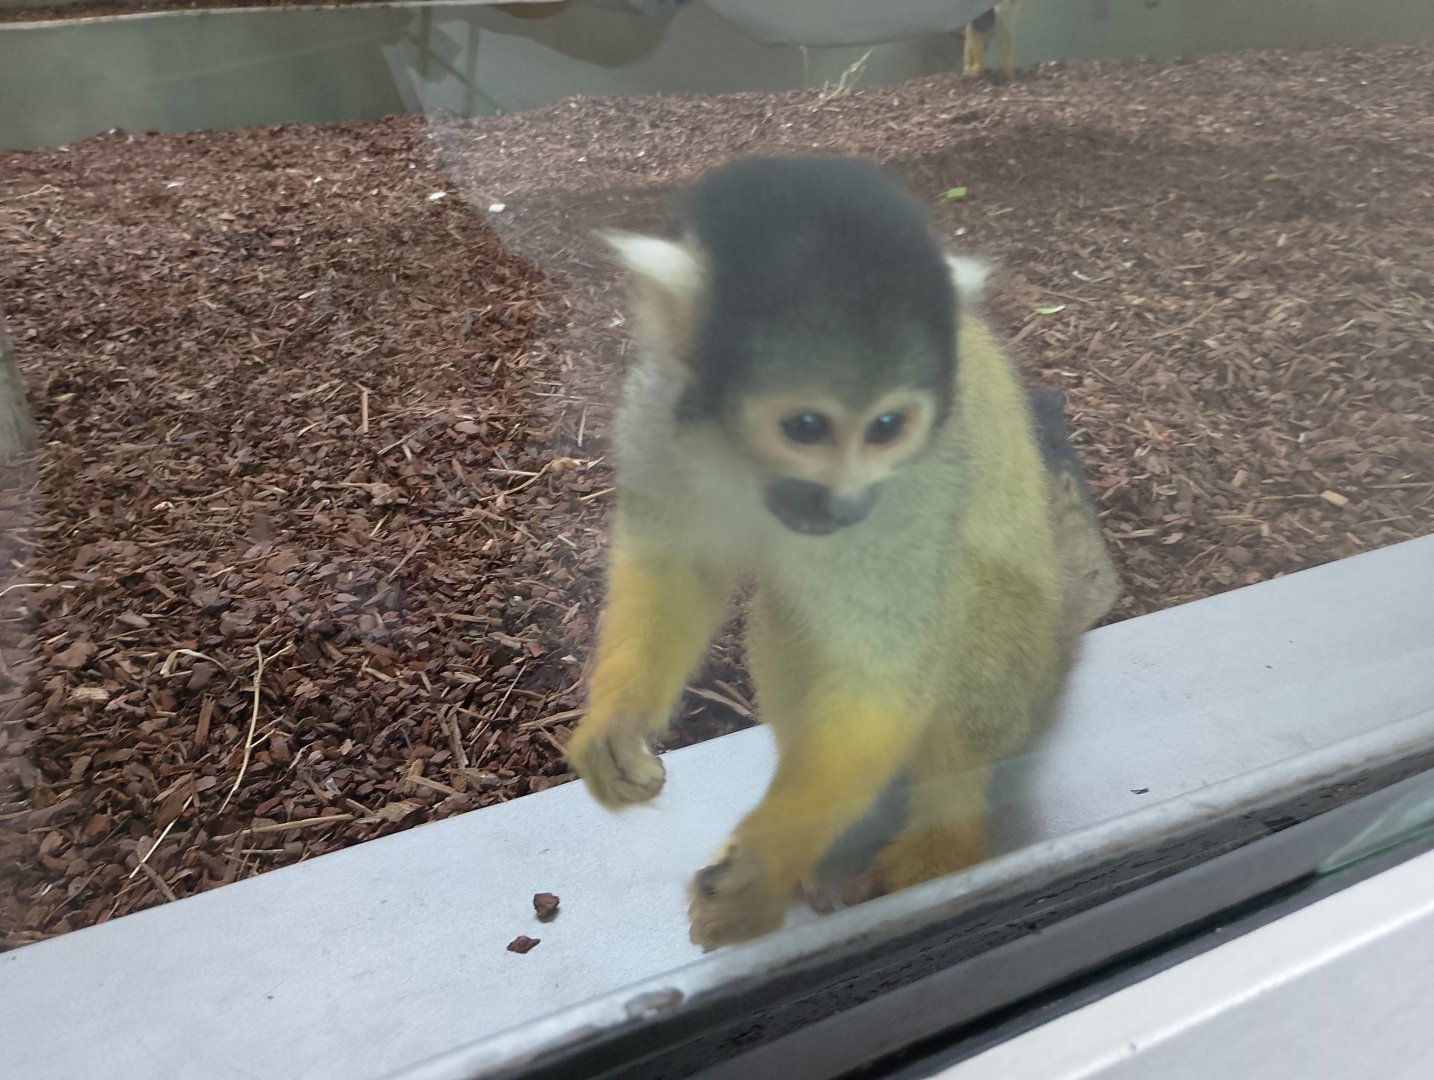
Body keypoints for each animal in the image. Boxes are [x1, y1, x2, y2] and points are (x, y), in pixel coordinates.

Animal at [564, 155, 1118, 950]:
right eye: (805, 427)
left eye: (887, 426)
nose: (847, 503)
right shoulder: (657, 406)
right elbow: (677, 568)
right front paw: (616, 724)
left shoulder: (914, 482)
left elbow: (884, 671)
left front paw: (764, 867)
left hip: (1021, 657)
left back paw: (944, 839)